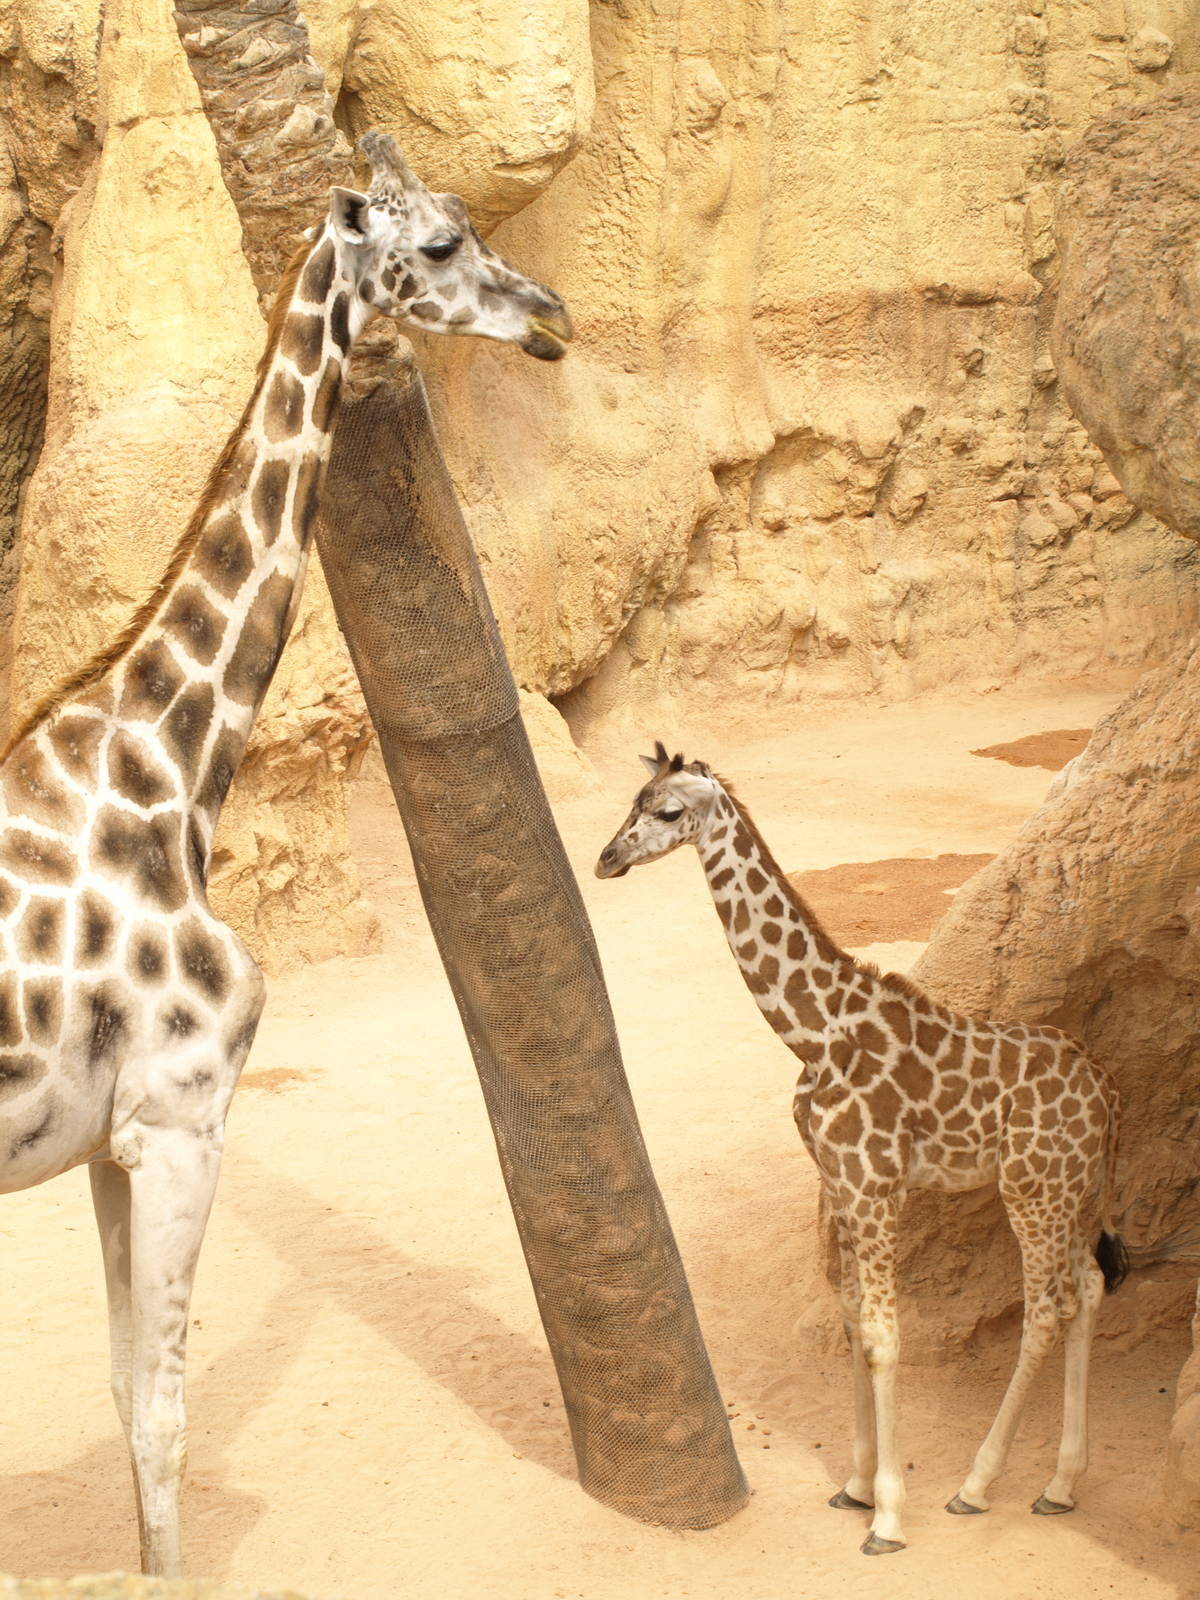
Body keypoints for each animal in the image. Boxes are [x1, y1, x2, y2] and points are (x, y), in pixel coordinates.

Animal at [0, 130, 571, 1577]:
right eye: (441, 243)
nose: (552, 315)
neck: (166, 771)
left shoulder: (112, 1140)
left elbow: (125, 1395)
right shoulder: (186, 1112)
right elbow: (163, 1417)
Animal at [596, 744, 1129, 1556]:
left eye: (667, 811)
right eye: (632, 801)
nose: (606, 859)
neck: (814, 1032)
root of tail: (1107, 1091)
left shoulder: (875, 1185)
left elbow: (881, 1335)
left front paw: (888, 1515)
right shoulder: (840, 1183)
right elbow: (850, 1321)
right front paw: (853, 1485)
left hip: (1031, 1188)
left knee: (1048, 1306)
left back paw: (976, 1486)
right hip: (1075, 1187)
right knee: (1092, 1287)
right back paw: (1061, 1485)